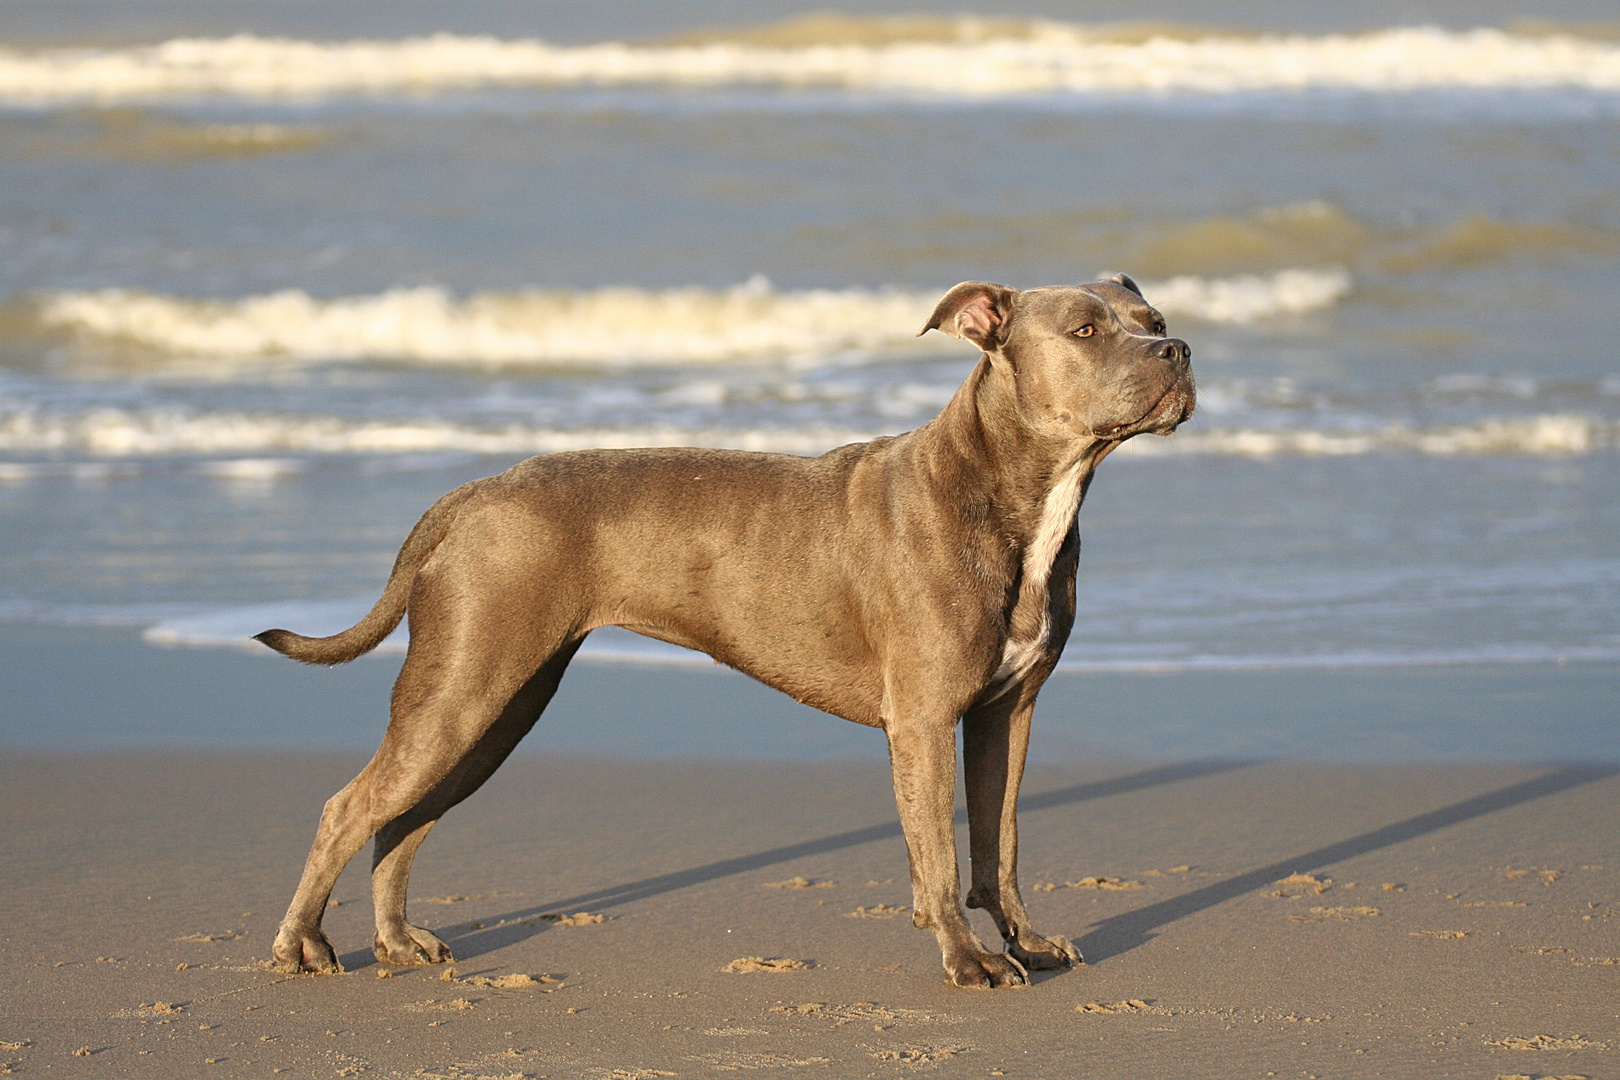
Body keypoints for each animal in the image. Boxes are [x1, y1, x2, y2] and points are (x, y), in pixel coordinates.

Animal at [259, 276, 1198, 990]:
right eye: (1086, 330)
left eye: (1152, 320)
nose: (1180, 350)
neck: (1015, 489)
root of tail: (479, 491)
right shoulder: (926, 721)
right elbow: (937, 857)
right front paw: (970, 962)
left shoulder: (1007, 713)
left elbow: (997, 844)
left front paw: (1025, 941)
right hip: (464, 691)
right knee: (350, 807)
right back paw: (301, 946)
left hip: (496, 709)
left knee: (402, 820)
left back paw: (396, 942)